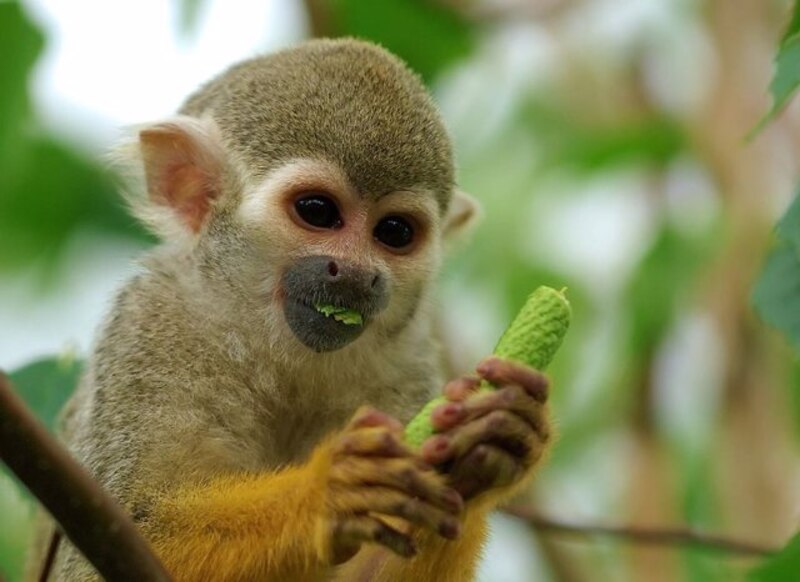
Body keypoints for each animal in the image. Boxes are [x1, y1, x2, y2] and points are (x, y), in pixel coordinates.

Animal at [34, 38, 552, 580]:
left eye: (394, 232)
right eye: (317, 211)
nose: (356, 274)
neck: (273, 348)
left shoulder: (406, 368)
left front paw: (483, 452)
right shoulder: (150, 326)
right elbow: (122, 536)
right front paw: (327, 494)